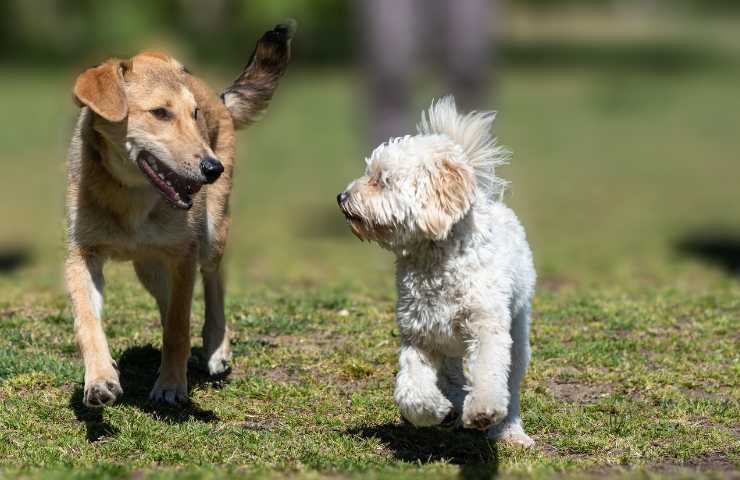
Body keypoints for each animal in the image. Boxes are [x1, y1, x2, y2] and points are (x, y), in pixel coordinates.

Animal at [66, 21, 292, 404]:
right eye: (160, 113)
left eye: (194, 114)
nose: (212, 168)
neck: (130, 196)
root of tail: (218, 97)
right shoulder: (82, 255)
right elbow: (88, 323)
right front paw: (99, 379)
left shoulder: (184, 254)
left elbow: (178, 327)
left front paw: (171, 385)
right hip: (149, 267)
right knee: (169, 300)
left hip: (212, 234)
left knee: (214, 281)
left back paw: (216, 349)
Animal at [338, 96, 536, 446]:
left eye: (381, 179)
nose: (341, 197)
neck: (435, 258)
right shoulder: (419, 334)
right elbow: (411, 391)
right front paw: (435, 411)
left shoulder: (486, 327)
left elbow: (488, 374)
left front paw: (482, 411)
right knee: (452, 376)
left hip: (517, 331)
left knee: (509, 385)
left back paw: (510, 430)